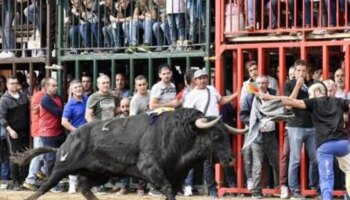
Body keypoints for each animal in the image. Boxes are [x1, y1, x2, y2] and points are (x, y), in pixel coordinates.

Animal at [12, 108, 247, 199]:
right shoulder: (151, 169)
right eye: (215, 135)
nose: (230, 159)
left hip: (100, 173)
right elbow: (167, 189)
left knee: (84, 187)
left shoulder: (176, 175)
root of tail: (66, 143)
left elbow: (171, 190)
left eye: (226, 135)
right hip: (61, 168)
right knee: (43, 187)